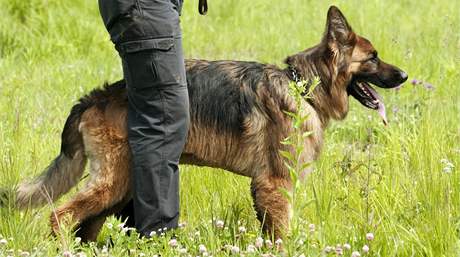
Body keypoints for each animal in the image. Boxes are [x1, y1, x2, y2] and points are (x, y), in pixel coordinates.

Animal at [7, 7, 406, 241]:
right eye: (373, 58)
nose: (404, 75)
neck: (302, 86)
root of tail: (95, 97)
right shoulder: (275, 185)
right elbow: (282, 236)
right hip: (113, 182)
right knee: (60, 216)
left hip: (120, 185)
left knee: (86, 223)